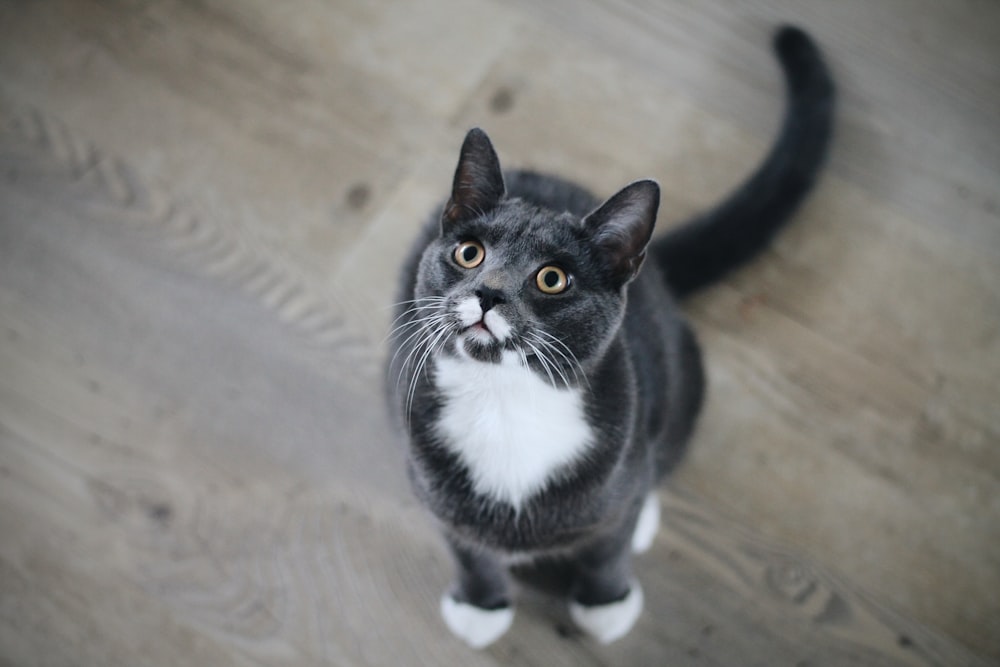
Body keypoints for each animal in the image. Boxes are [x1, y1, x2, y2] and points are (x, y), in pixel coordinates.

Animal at [386, 26, 832, 648]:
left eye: (552, 278)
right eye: (469, 253)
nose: (487, 293)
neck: (504, 403)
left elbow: (608, 544)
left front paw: (606, 603)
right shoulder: (427, 474)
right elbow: (465, 547)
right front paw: (480, 606)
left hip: (679, 373)